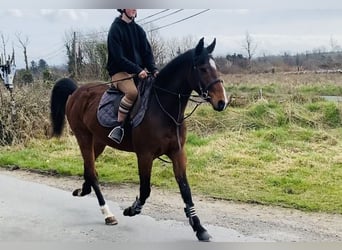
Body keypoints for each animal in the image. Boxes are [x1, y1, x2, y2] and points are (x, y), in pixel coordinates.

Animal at [49, 37, 228, 242]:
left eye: (216, 67)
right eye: (202, 68)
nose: (222, 102)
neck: (163, 108)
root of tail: (77, 91)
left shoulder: (177, 152)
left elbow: (185, 190)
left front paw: (199, 228)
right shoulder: (145, 155)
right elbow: (145, 189)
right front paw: (132, 209)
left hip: (99, 141)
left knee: (89, 168)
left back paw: (83, 190)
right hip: (83, 136)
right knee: (93, 173)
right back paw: (107, 214)